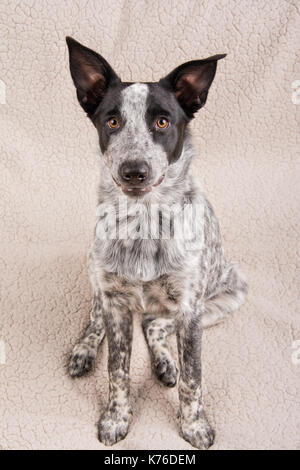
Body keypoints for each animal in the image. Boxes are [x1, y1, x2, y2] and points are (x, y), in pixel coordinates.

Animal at [66, 36, 248, 448]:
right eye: (112, 121)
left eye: (162, 121)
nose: (133, 171)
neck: (143, 222)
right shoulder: (115, 302)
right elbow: (117, 370)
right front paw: (116, 418)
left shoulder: (191, 309)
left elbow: (193, 378)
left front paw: (194, 425)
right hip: (94, 271)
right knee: (96, 317)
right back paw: (84, 350)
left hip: (227, 296)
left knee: (154, 325)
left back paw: (166, 362)